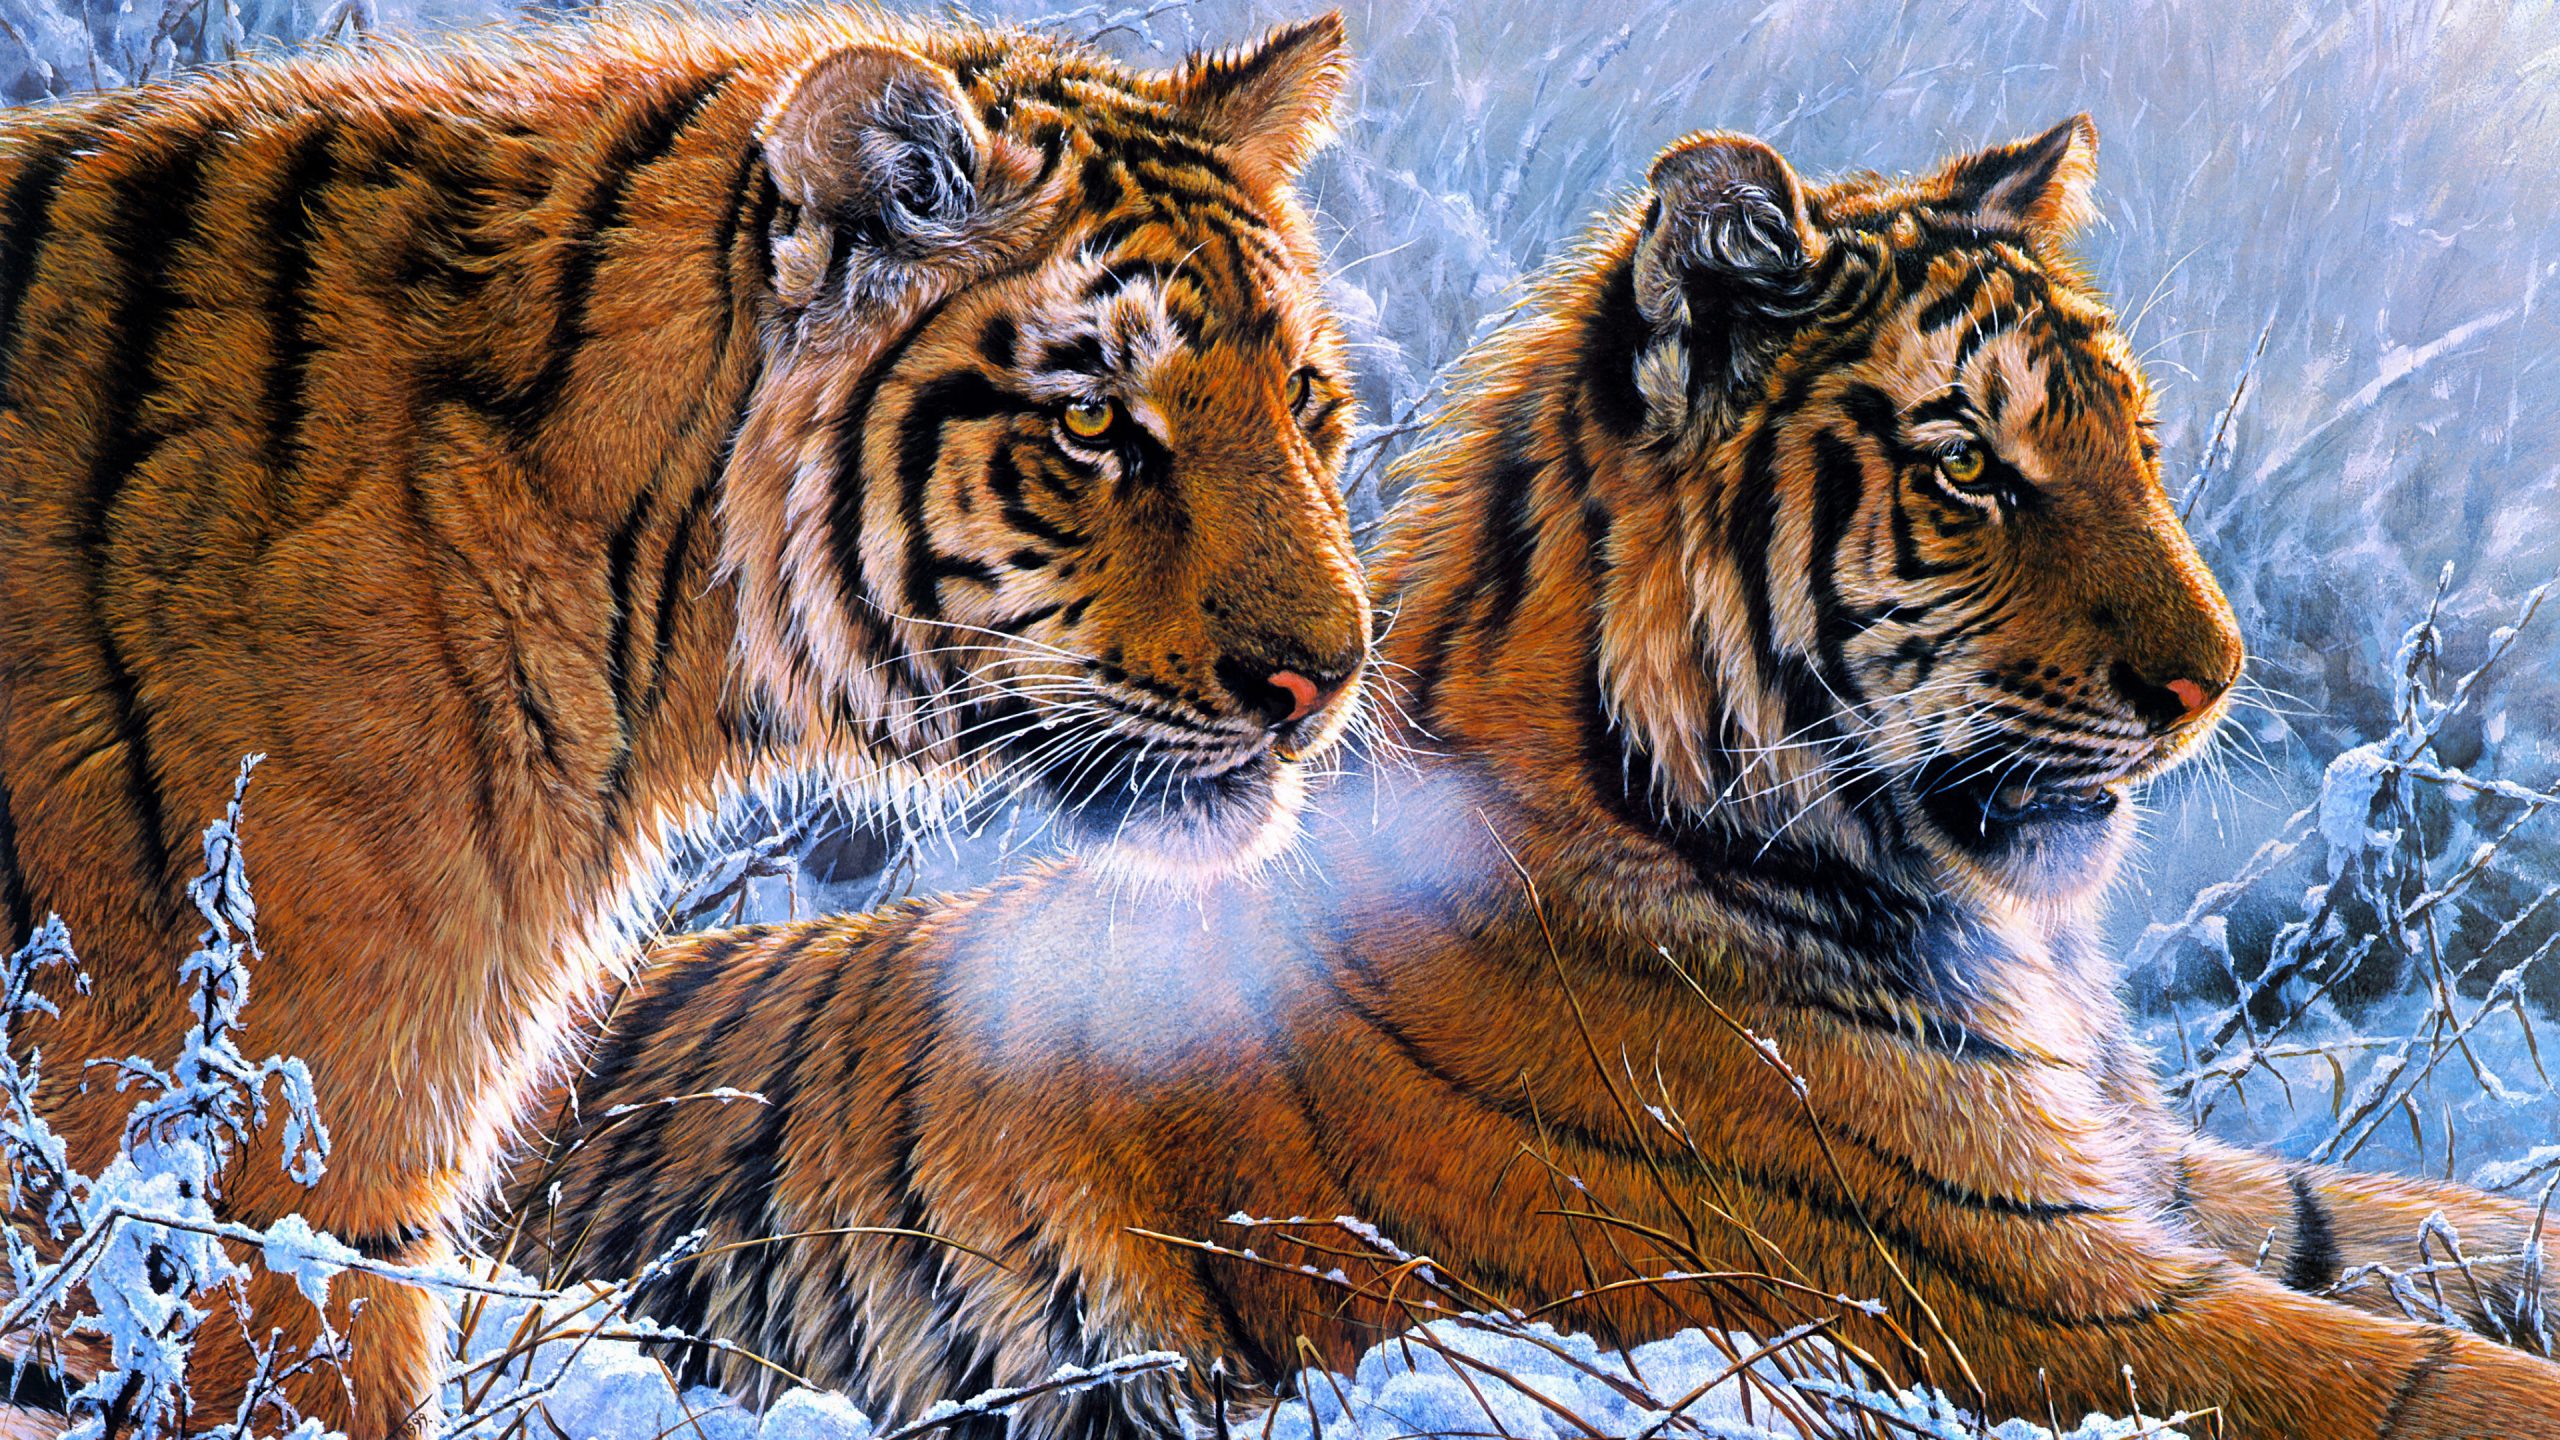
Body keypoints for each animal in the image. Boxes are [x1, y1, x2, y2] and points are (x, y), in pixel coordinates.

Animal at [518, 116, 2560, 1440]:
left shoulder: (2142, 1178)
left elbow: (2454, 1232)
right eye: (1970, 465)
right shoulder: (2011, 1291)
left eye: (2131, 439)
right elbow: (2423, 1379)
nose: (2212, 684)